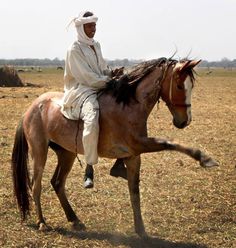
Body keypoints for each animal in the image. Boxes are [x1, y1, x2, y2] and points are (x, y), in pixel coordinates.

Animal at [11, 57, 218, 236]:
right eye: (179, 86)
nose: (184, 121)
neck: (128, 105)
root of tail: (31, 108)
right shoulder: (140, 144)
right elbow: (169, 143)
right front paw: (205, 158)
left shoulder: (134, 154)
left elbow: (134, 193)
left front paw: (141, 230)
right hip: (40, 152)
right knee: (36, 185)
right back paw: (42, 222)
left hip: (66, 153)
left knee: (57, 182)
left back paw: (74, 219)